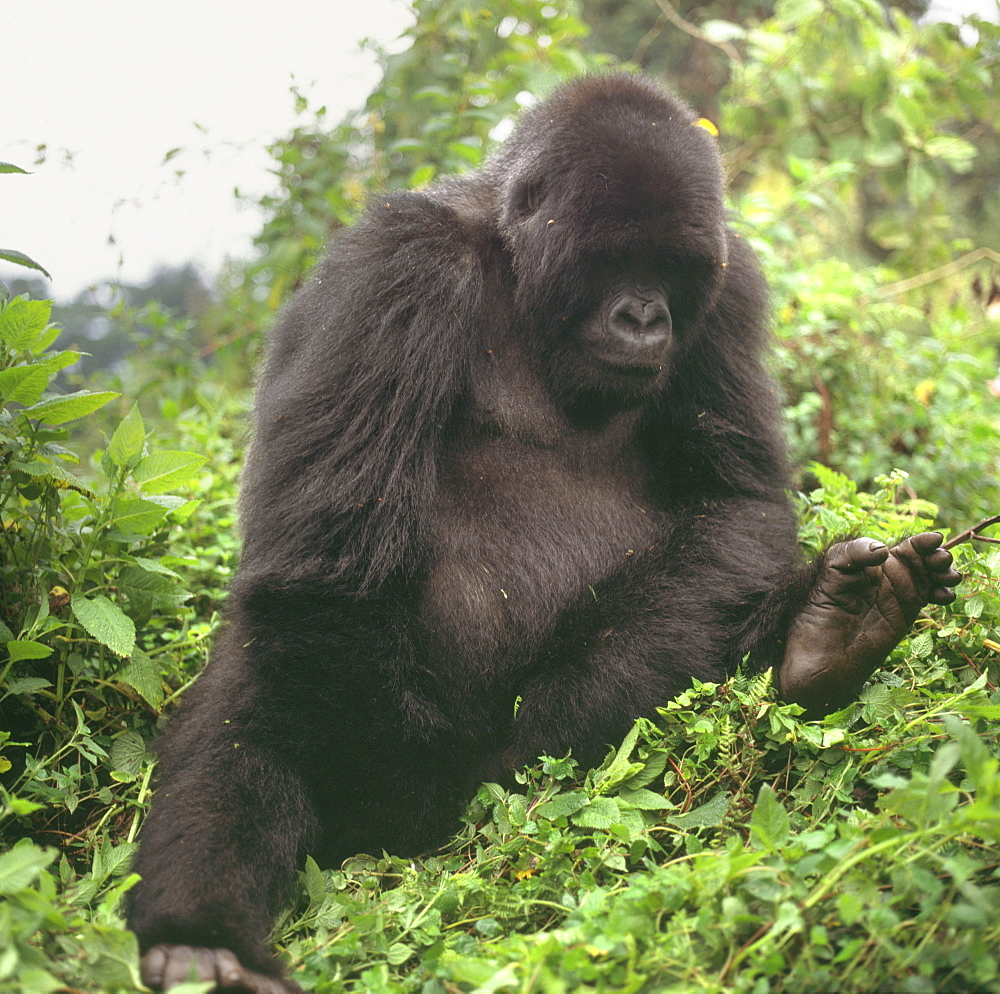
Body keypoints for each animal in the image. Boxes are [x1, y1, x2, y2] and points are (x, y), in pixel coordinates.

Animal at [127, 73, 960, 988]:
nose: (645, 319)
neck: (517, 266)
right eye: (615, 259)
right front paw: (401, 804)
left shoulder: (728, 289)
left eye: (671, 270)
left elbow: (732, 502)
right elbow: (329, 559)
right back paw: (201, 939)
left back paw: (828, 639)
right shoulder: (397, 263)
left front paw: (552, 739)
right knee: (258, 700)